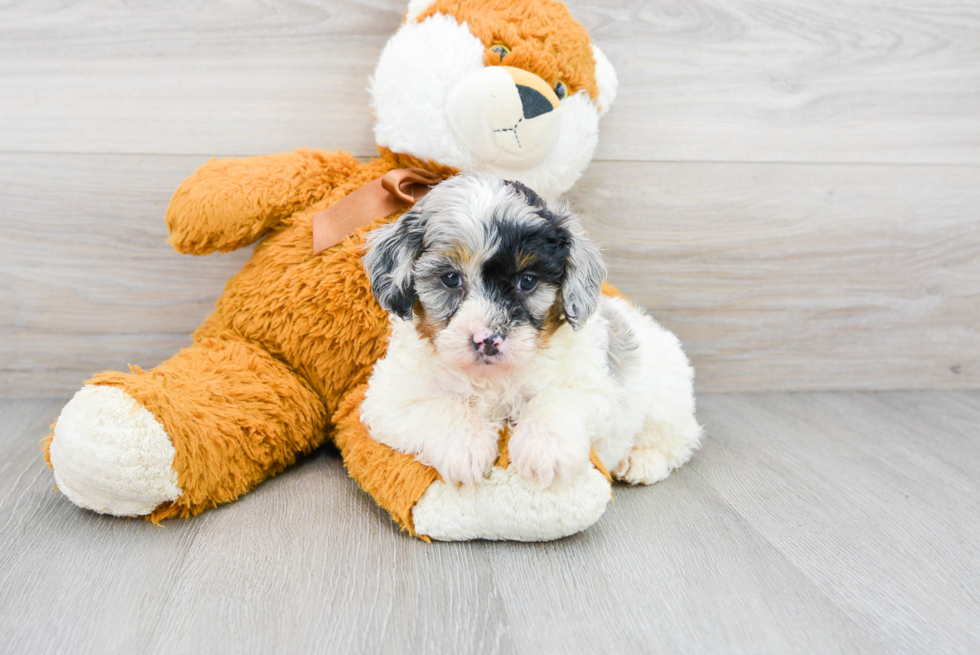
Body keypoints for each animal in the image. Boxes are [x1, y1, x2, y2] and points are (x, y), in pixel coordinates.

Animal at [364, 172, 700, 490]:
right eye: (450, 278)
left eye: (527, 281)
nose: (487, 340)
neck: (492, 380)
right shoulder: (389, 398)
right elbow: (439, 407)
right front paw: (466, 446)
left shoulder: (592, 384)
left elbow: (558, 398)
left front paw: (544, 448)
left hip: (667, 400)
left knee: (680, 439)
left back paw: (641, 461)